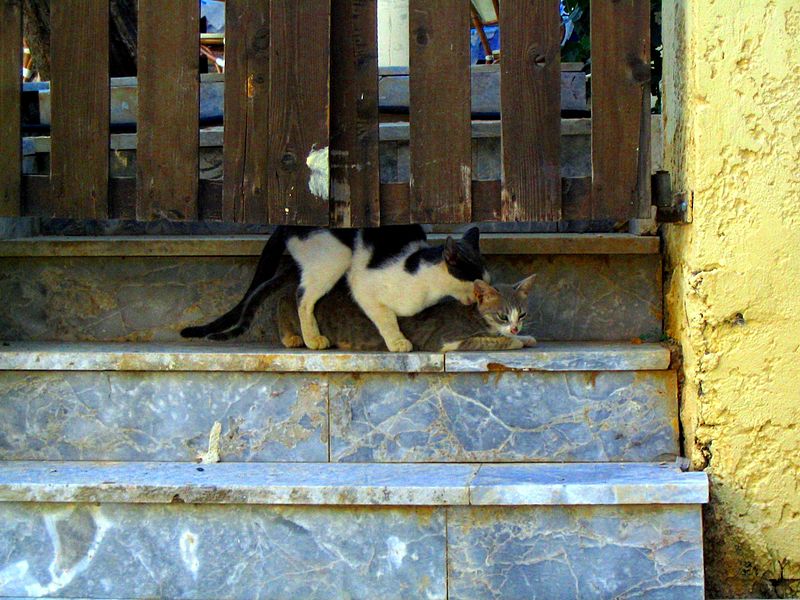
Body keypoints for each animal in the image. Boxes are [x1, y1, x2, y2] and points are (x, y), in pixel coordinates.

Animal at [180, 224, 488, 352]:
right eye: (477, 279)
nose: (487, 290)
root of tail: (286, 221)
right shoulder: (363, 286)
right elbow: (385, 317)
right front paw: (397, 341)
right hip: (336, 257)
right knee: (301, 297)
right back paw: (311, 338)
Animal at [276, 276, 536, 354]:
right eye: (502, 316)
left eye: (522, 314)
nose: (516, 328)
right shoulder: (445, 340)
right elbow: (487, 340)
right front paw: (514, 341)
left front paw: (525, 337)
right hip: (293, 306)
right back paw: (294, 337)